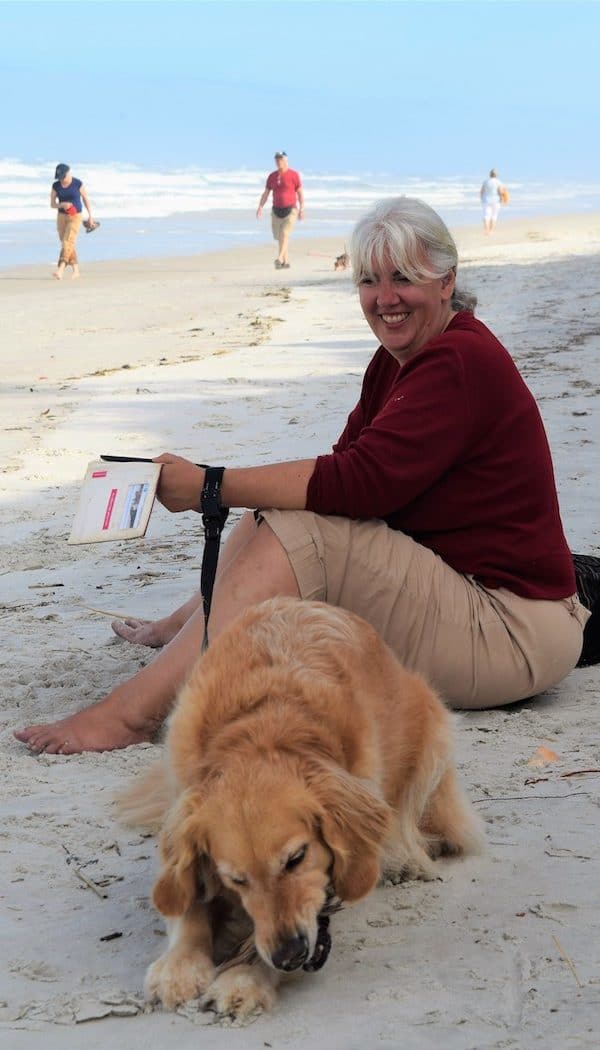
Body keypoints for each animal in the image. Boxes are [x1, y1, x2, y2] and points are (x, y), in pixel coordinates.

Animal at [119, 600, 485, 1016]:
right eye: (235, 880)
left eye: (296, 858)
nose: (289, 955)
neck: (266, 724)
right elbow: (188, 900)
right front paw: (179, 965)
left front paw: (246, 975)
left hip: (432, 732)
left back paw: (405, 858)